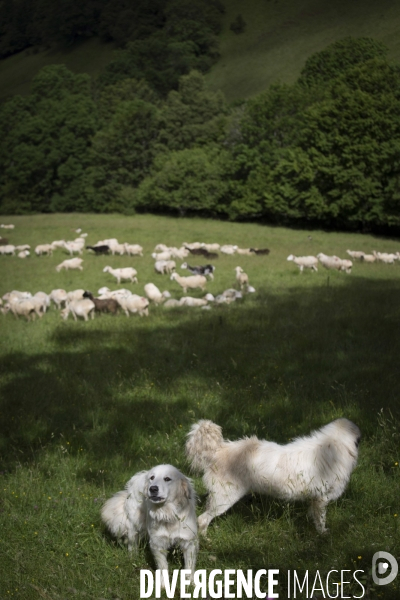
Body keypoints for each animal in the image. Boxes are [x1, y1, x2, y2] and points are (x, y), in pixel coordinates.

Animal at [186, 418, 360, 536]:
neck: (333, 446)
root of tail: (220, 449)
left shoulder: (315, 498)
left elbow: (313, 514)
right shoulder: (322, 498)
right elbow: (321, 520)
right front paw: (322, 534)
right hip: (224, 499)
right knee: (202, 519)